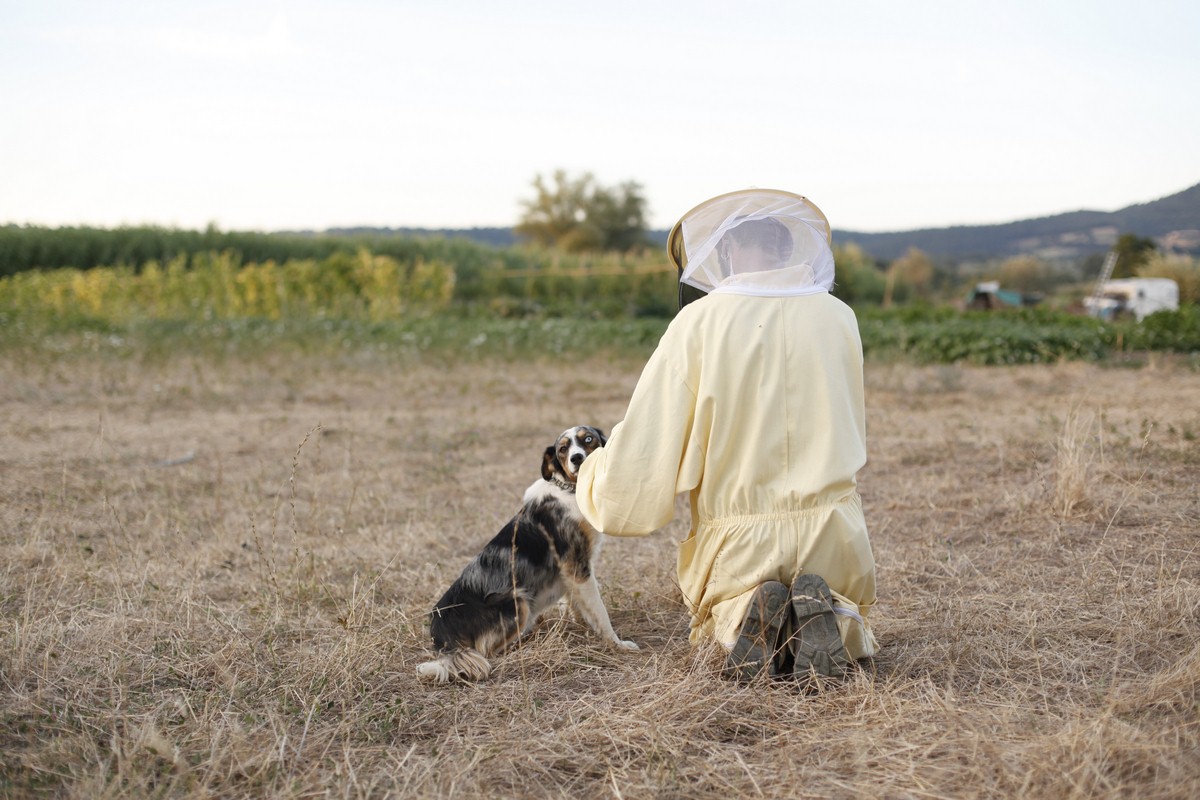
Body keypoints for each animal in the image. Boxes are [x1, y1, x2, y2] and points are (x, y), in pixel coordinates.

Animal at [417, 424, 638, 681]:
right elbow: (600, 612)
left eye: (588, 440)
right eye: (563, 449)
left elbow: (579, 607)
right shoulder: (578, 566)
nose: (576, 458)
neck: (569, 490)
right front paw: (617, 644)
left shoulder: (570, 573)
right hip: (519, 601)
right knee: (485, 651)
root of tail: (440, 631)